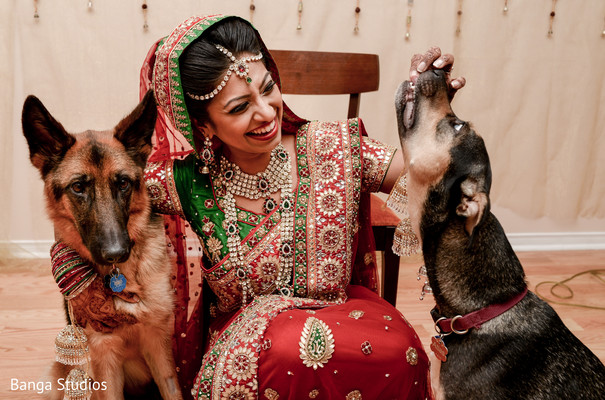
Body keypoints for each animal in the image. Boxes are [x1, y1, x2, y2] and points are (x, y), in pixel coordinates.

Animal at [21, 91, 182, 400]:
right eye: (78, 188)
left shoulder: (158, 345)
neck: (123, 278)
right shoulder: (104, 357)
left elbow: (173, 391)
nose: (117, 253)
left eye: (123, 183)